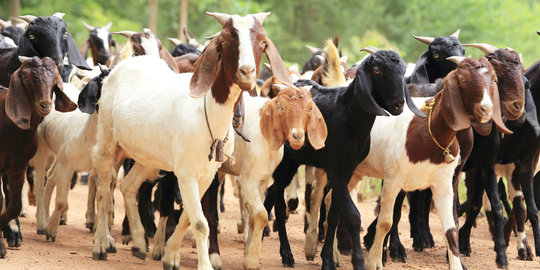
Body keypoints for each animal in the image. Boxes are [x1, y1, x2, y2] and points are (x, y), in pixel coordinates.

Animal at [91, 11, 296, 270]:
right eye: (225, 41)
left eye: (261, 42)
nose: (247, 72)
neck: (206, 112)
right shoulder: (186, 174)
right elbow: (200, 222)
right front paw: (203, 263)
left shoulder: (207, 174)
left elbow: (189, 217)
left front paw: (170, 255)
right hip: (108, 141)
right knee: (103, 189)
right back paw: (101, 244)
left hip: (148, 157)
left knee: (128, 186)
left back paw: (138, 241)